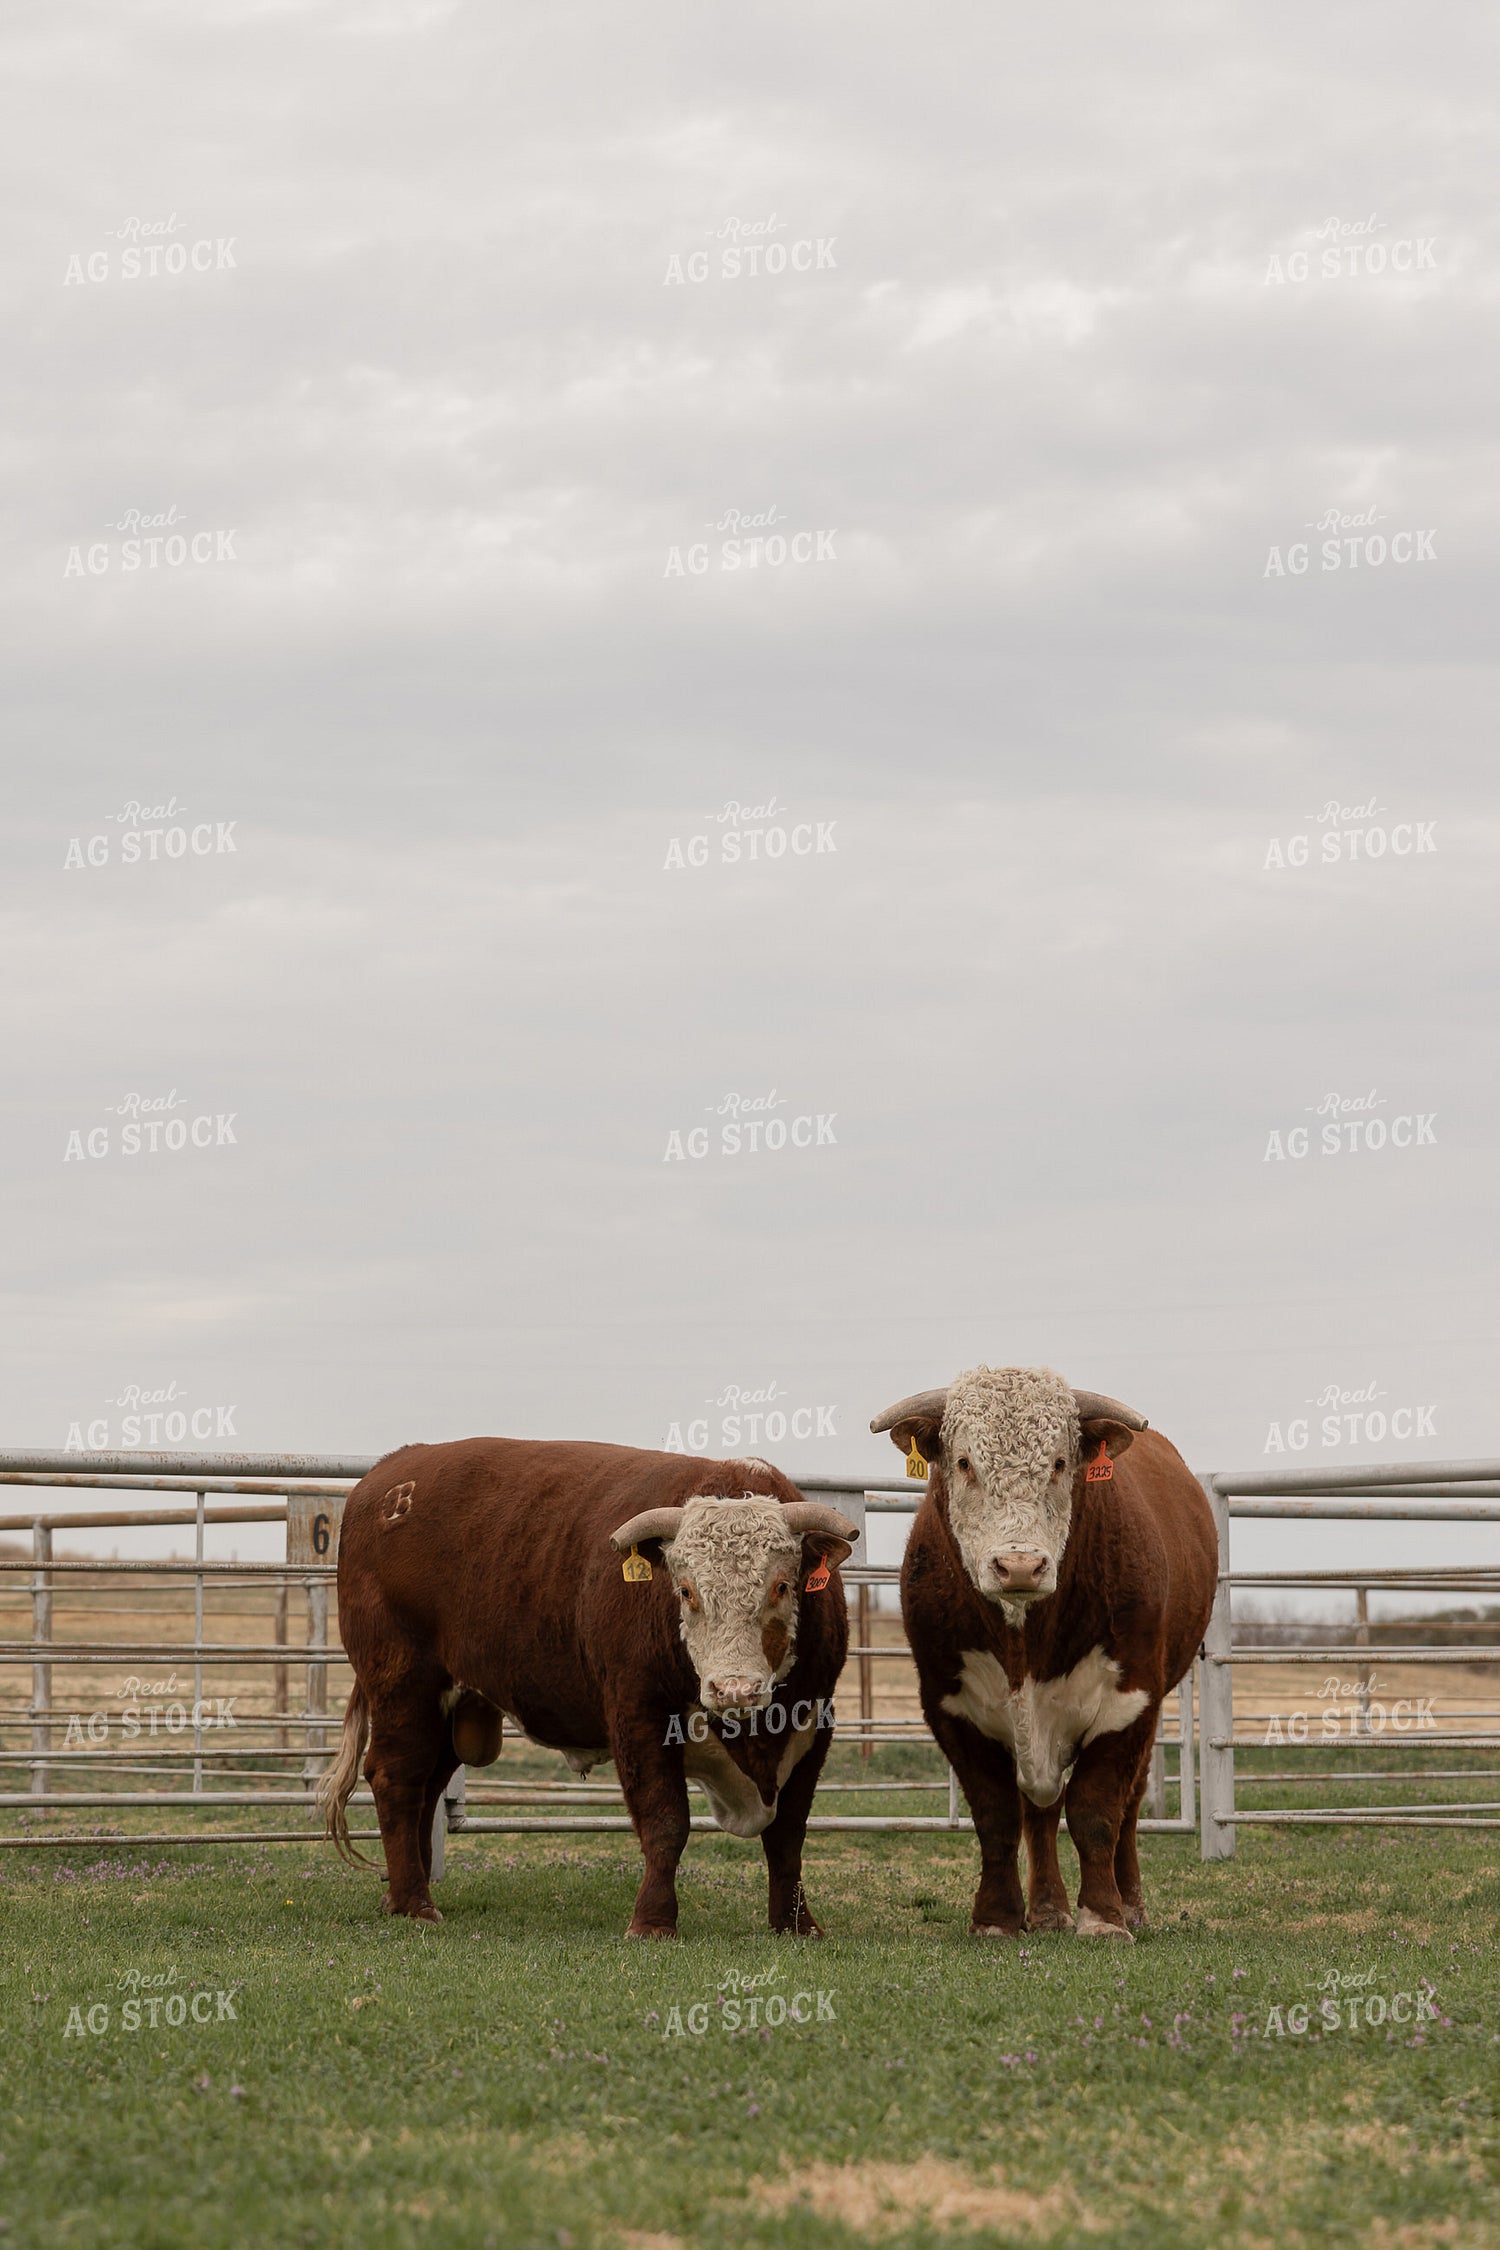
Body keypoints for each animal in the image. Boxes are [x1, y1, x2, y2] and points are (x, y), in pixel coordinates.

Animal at [317, 1438, 856, 1938]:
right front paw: (652, 1922)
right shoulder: (638, 1714)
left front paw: (797, 1924)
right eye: (686, 1592)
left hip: (452, 1704)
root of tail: (388, 1474)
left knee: (427, 1784)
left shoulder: (814, 1724)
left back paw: (401, 1892)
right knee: (396, 1777)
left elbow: (788, 1834)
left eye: (782, 1586)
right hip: (401, 1682)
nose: (735, 1689)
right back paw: (415, 1903)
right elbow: (665, 1820)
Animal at [871, 1366, 1216, 1941]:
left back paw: (1130, 1906)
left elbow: (1096, 1809)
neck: (1023, 1644)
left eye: (1058, 1463)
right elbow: (997, 1815)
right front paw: (996, 1919)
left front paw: (1103, 1918)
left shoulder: (1129, 1702)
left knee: (1128, 1807)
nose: (1019, 1566)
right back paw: (1048, 1909)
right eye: (964, 1462)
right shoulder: (950, 1705)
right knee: (1040, 1812)